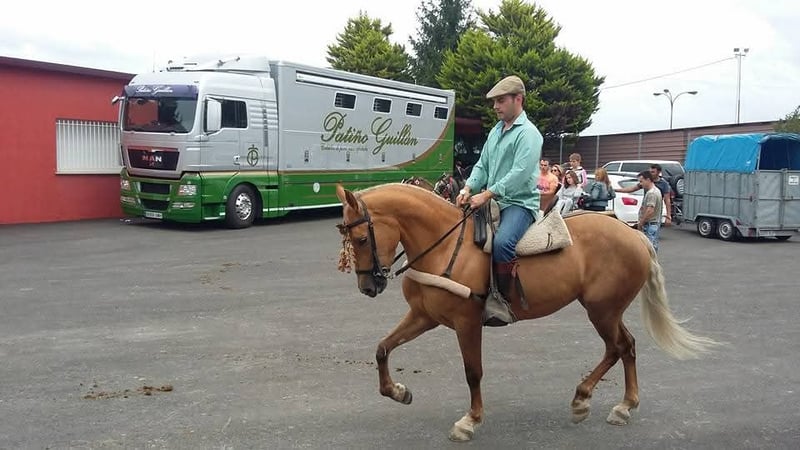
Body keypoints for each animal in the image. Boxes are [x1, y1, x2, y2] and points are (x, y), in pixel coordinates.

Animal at [334, 182, 719, 442]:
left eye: (363, 239)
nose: (368, 287)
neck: (445, 247)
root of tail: (635, 236)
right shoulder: (424, 317)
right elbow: (383, 348)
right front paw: (398, 391)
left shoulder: (467, 323)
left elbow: (473, 372)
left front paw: (470, 421)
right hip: (606, 311)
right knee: (626, 346)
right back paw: (614, 403)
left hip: (603, 311)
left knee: (619, 347)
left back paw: (595, 401)